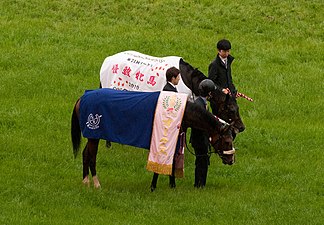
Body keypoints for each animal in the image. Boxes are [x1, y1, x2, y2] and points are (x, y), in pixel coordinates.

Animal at [71, 89, 234, 190]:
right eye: (227, 141)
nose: (231, 160)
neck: (184, 112)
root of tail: (83, 97)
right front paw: (153, 186)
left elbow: (172, 161)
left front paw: (172, 185)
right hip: (94, 136)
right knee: (91, 157)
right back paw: (96, 184)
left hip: (93, 137)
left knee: (85, 154)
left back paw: (85, 182)